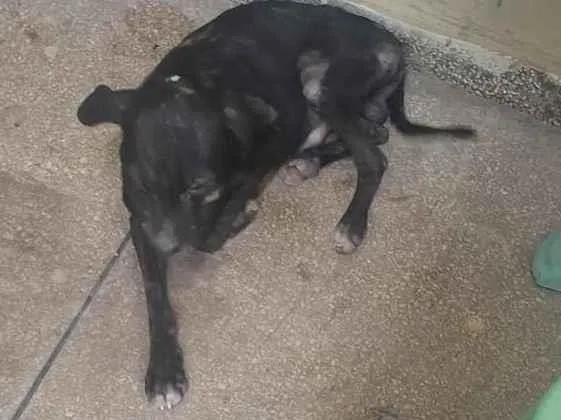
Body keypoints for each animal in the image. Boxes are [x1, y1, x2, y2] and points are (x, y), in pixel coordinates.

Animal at [76, 0, 475, 409]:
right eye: (140, 185)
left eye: (201, 190)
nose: (167, 246)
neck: (190, 80)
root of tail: (392, 42)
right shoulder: (141, 219)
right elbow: (155, 291)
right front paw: (163, 371)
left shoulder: (274, 141)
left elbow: (218, 223)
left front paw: (237, 218)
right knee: (376, 134)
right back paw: (311, 161)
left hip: (322, 87)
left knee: (374, 157)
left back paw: (351, 222)